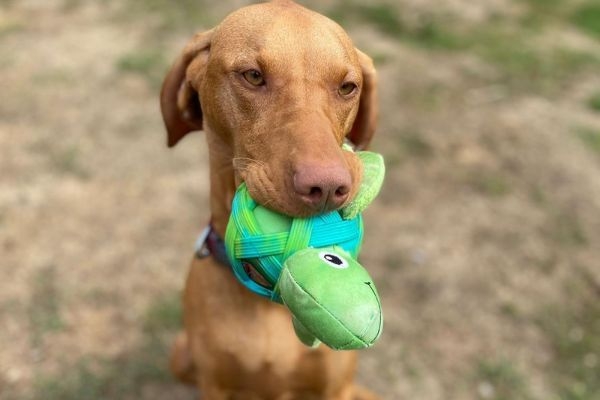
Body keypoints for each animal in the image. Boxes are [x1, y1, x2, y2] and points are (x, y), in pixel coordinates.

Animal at [162, 1, 378, 398]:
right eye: (252, 76)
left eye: (347, 87)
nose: (327, 187)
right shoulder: (214, 384)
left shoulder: (334, 386)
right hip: (180, 353)